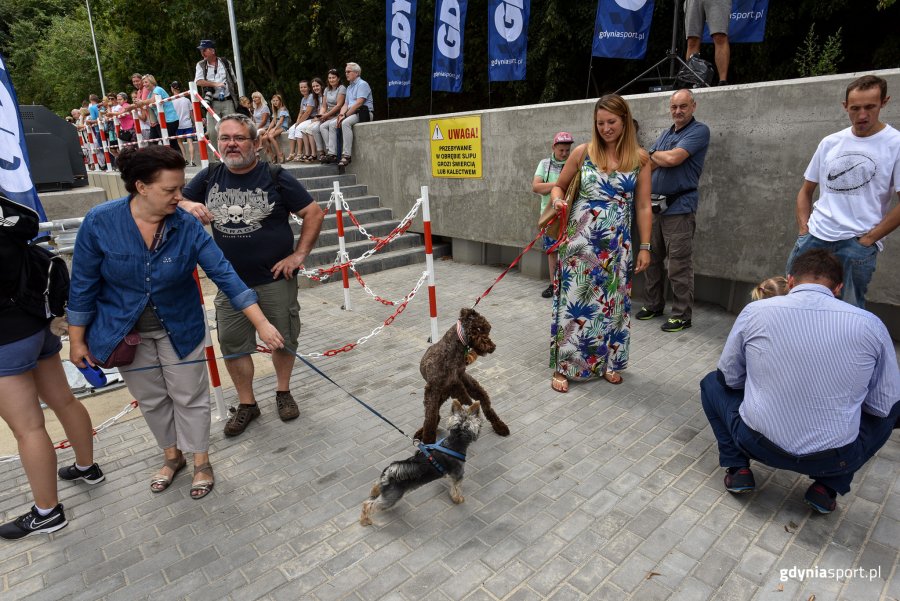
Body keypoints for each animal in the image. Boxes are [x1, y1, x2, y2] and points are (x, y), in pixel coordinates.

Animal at [414, 308, 506, 442]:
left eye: (487, 329)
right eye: (479, 329)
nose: (492, 347)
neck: (453, 349)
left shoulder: (459, 379)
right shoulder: (437, 388)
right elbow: (430, 420)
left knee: (486, 406)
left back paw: (500, 426)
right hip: (438, 396)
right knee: (434, 417)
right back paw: (422, 435)